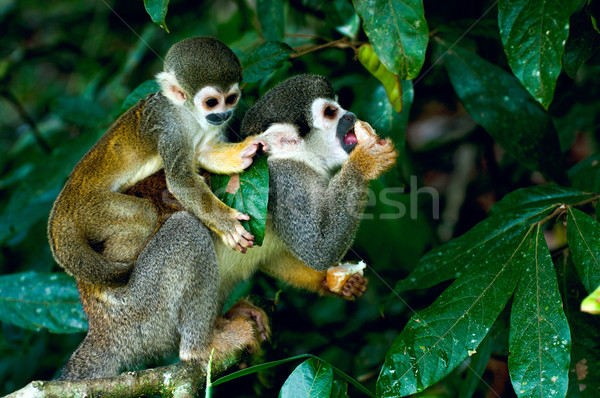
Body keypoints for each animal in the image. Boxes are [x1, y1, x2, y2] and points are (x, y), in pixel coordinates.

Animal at [48, 35, 260, 288]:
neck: (188, 113)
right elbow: (180, 181)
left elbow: (203, 153)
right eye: (211, 102)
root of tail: (64, 204)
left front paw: (243, 152)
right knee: (143, 215)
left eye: (231, 99)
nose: (224, 114)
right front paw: (225, 222)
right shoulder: (171, 128)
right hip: (91, 209)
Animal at [57, 75, 398, 382]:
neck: (299, 158)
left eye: (339, 106)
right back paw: (200, 347)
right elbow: (317, 248)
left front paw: (334, 282)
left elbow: (277, 256)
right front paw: (366, 161)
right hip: (140, 313)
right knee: (186, 231)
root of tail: (101, 329)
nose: (351, 116)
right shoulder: (286, 181)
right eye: (330, 112)